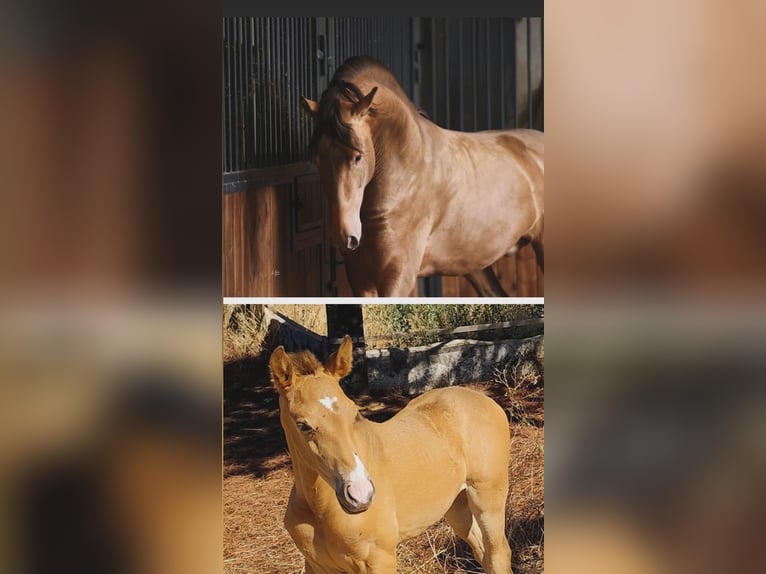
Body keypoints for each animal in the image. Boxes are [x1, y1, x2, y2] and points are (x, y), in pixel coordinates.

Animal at [269, 335, 513, 573]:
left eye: (354, 414)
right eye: (302, 425)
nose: (360, 494)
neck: (320, 508)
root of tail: (484, 399)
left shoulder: (378, 558)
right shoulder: (316, 565)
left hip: (487, 498)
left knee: (498, 554)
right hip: (456, 505)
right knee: (483, 553)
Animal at [300, 56, 544, 297]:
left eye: (358, 157)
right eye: (316, 158)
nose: (344, 237)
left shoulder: (398, 276)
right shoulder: (360, 279)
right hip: (476, 266)